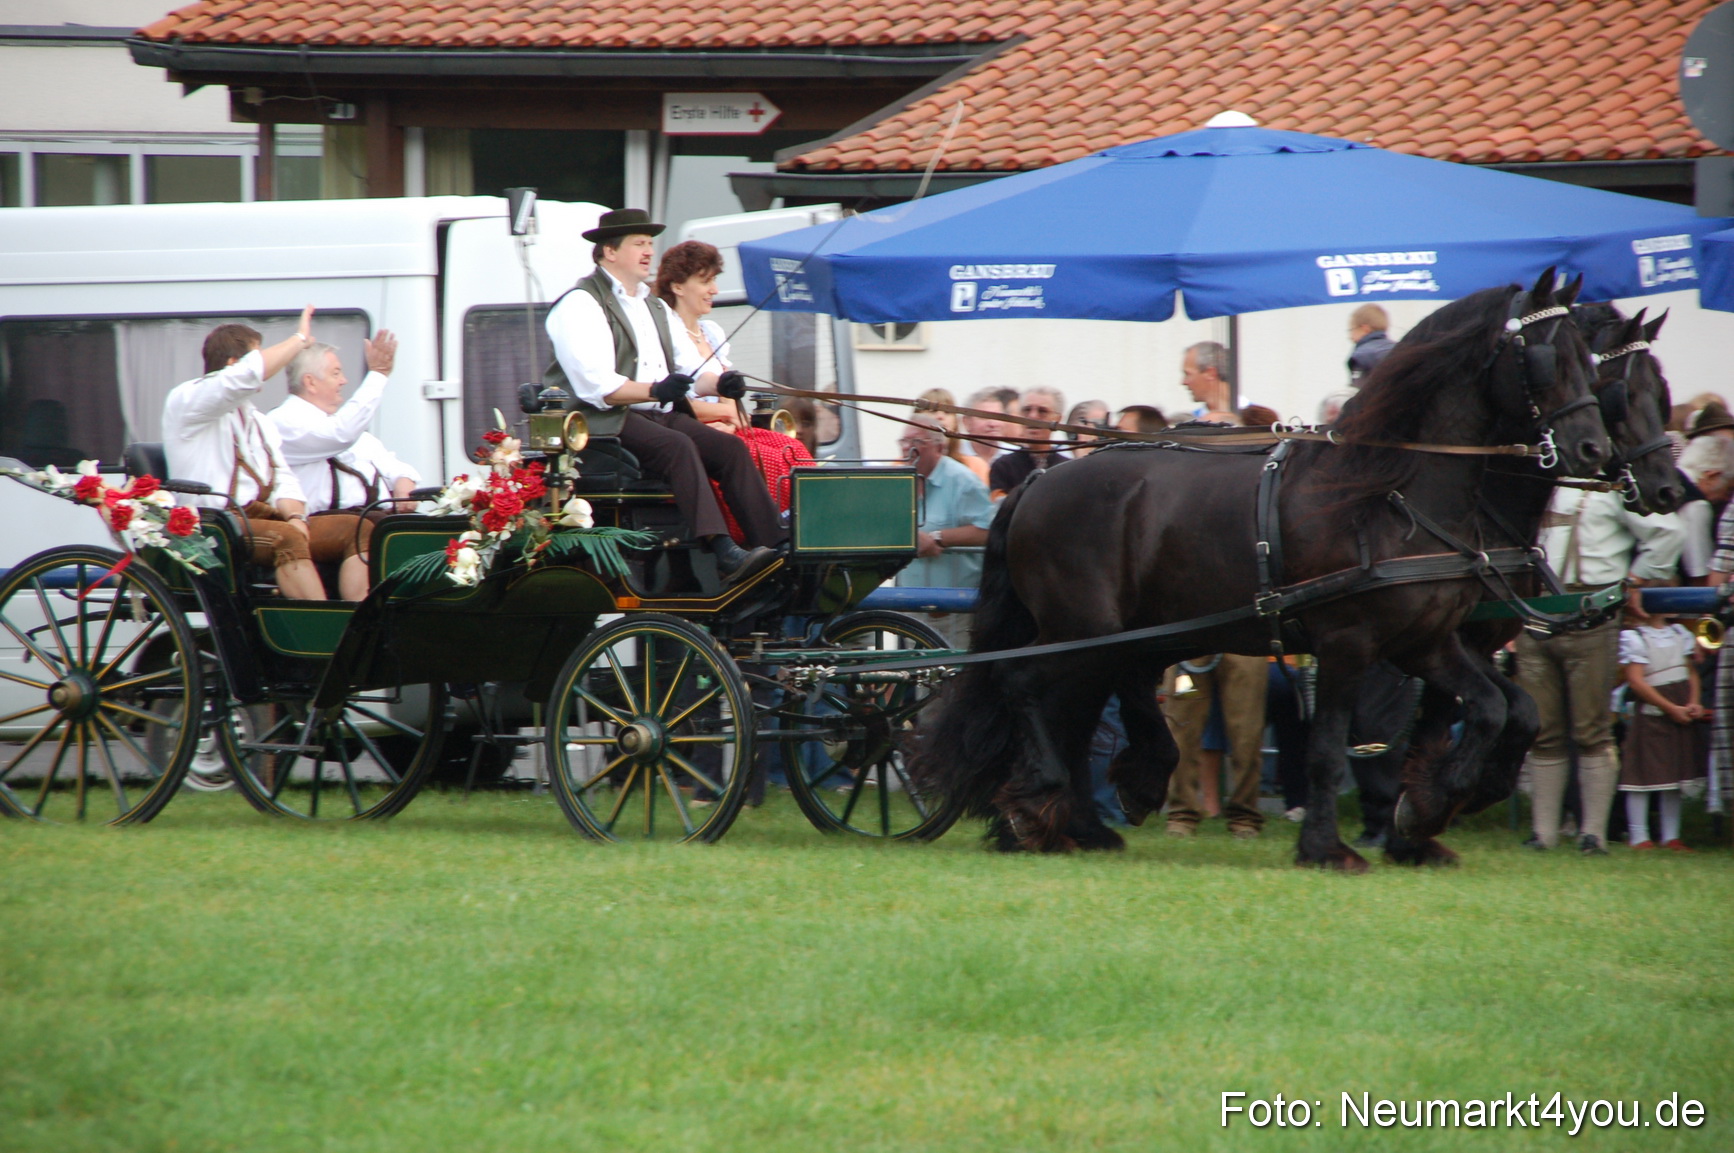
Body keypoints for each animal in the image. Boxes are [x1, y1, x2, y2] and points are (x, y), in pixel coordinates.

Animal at [915, 270, 1609, 871]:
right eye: (1545, 357)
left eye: (1591, 358)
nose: (1594, 449)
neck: (1386, 493)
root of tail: (1039, 478)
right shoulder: (1349, 643)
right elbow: (1328, 749)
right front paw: (1331, 847)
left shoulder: (1426, 641)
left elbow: (1504, 709)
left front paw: (1430, 809)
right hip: (1082, 631)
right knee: (1026, 688)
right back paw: (1041, 804)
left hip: (1116, 637)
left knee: (1079, 711)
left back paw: (1084, 819)